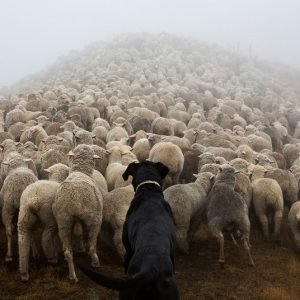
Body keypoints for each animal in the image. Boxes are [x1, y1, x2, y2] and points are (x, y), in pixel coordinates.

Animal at [52, 144, 102, 282]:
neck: (80, 171)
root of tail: (75, 199)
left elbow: (78, 234)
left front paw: (79, 247)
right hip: (94, 220)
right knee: (92, 246)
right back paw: (95, 262)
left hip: (63, 221)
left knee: (68, 252)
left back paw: (72, 276)